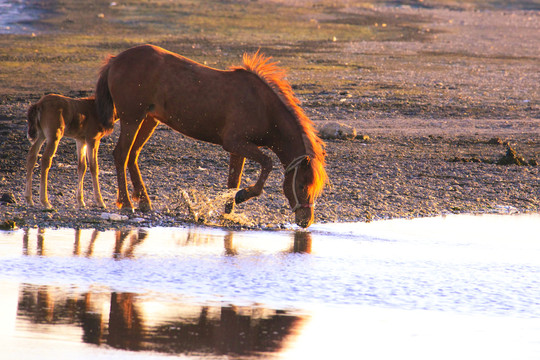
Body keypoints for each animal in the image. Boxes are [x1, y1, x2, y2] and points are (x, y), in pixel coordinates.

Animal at [95, 43, 326, 226]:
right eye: (302, 185)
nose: (306, 221)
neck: (264, 108)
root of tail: (115, 60)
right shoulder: (235, 143)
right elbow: (267, 164)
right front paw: (243, 196)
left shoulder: (238, 148)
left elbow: (233, 181)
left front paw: (229, 211)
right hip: (132, 119)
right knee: (121, 154)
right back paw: (126, 204)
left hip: (148, 119)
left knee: (133, 155)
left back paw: (144, 201)